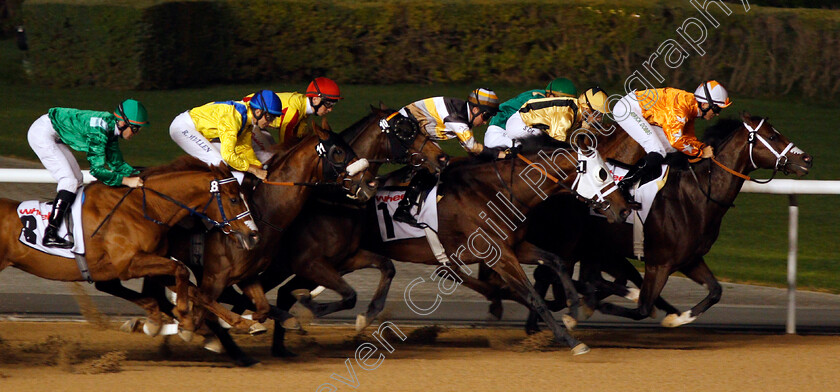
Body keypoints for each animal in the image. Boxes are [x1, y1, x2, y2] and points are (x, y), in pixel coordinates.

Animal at [0, 156, 260, 334]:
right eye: (234, 199)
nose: (254, 235)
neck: (144, 207)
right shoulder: (129, 264)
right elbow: (182, 270)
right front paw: (183, 315)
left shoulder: (151, 263)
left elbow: (196, 290)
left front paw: (241, 322)